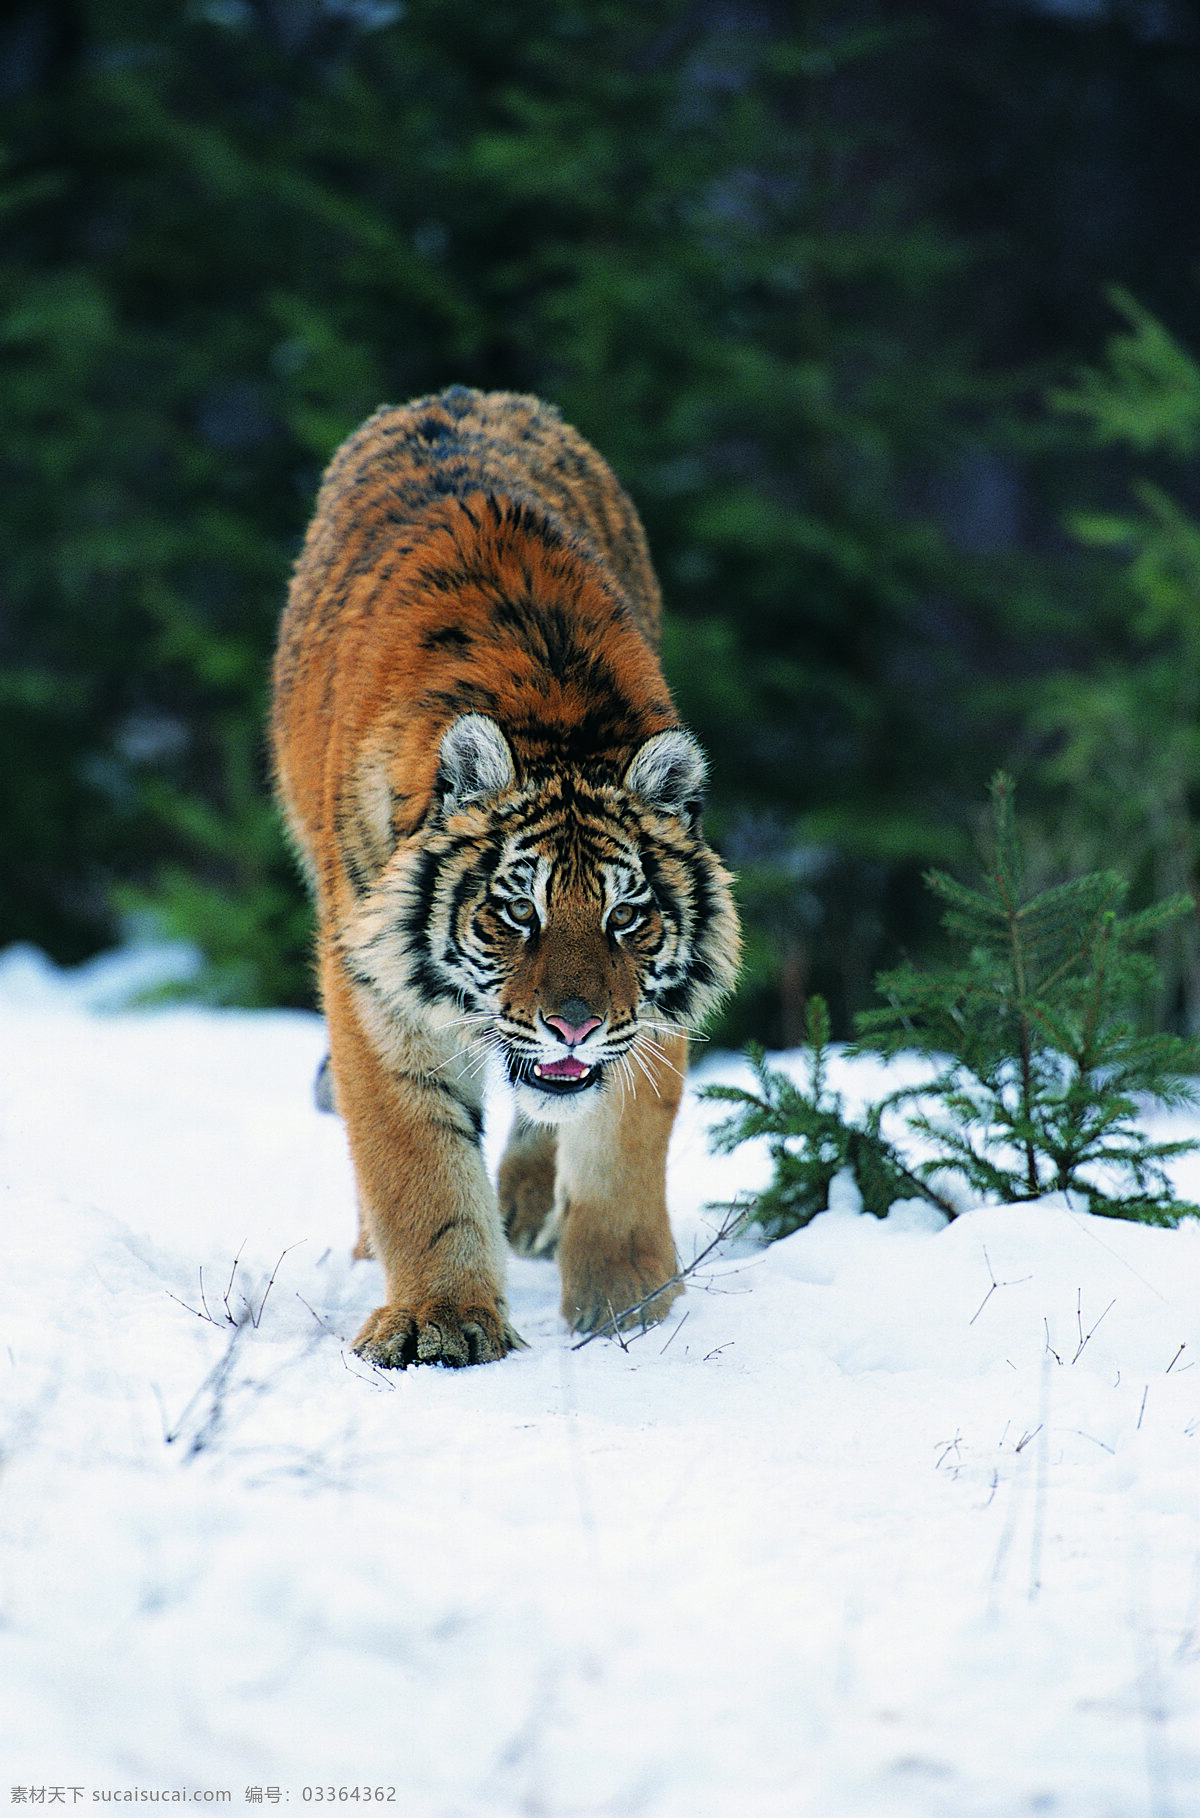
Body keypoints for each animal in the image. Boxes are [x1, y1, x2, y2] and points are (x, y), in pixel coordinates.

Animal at [272, 390, 741, 1367]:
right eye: (516, 911)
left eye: (626, 915)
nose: (574, 1024)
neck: (554, 719)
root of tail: (457, 395)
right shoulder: (373, 987)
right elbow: (417, 1165)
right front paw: (441, 1321)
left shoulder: (646, 1011)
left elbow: (620, 1153)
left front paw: (629, 1314)